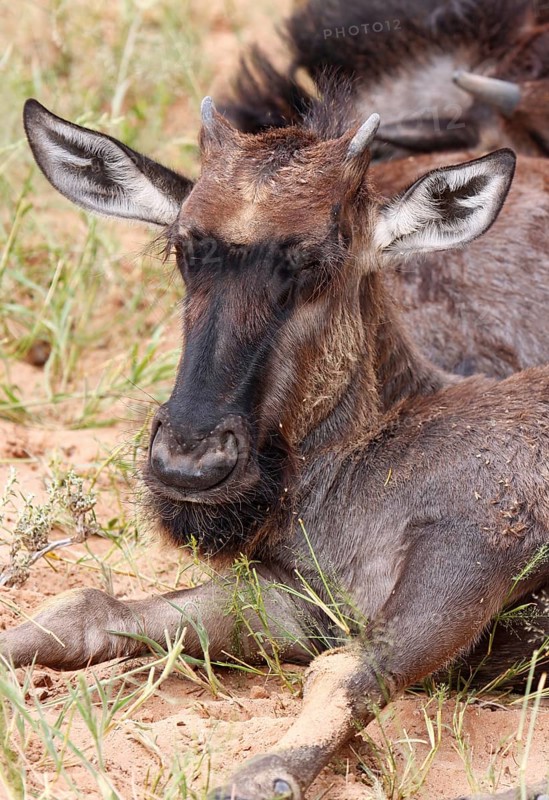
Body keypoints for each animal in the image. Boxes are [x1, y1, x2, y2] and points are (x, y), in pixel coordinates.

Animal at [2, 96, 549, 800]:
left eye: (318, 260)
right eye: (183, 247)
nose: (189, 464)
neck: (372, 454)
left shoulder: (478, 547)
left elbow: (348, 675)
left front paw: (257, 776)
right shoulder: (296, 603)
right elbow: (87, 607)